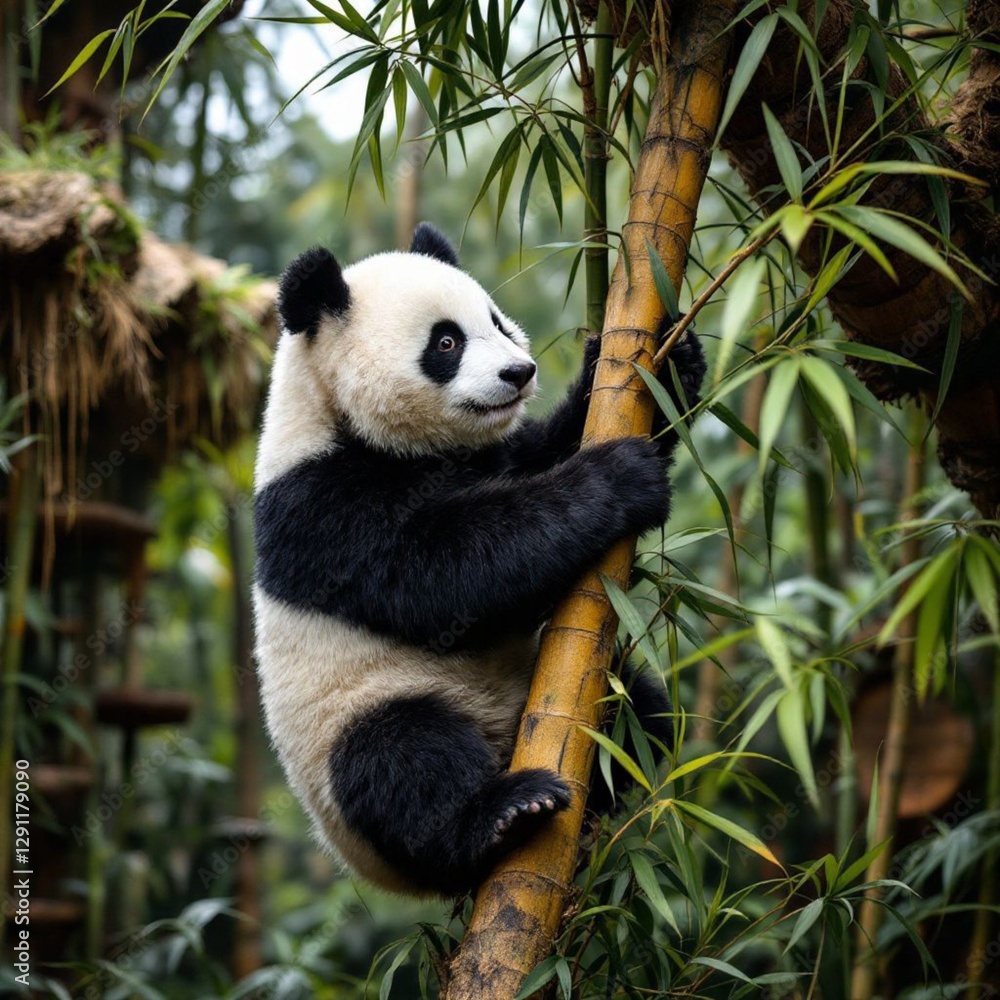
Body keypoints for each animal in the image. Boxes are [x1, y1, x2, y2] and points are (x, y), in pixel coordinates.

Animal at [253, 223, 705, 898]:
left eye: (496, 321)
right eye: (446, 342)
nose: (519, 371)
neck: (334, 417)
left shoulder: (492, 454)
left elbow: (543, 452)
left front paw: (669, 360)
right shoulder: (317, 508)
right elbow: (444, 574)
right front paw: (619, 477)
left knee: (638, 704)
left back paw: (624, 777)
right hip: (348, 729)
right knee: (400, 759)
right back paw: (503, 813)